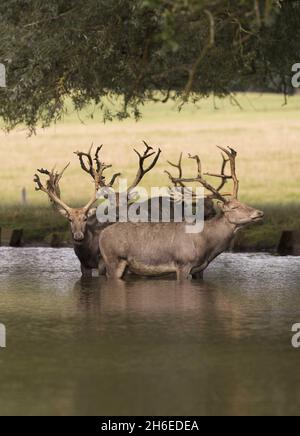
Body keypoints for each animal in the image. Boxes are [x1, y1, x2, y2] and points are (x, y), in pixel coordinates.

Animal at [99, 146, 264, 282]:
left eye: (244, 203)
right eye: (234, 207)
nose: (259, 212)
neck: (207, 244)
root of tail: (102, 234)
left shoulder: (200, 269)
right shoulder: (183, 263)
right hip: (113, 259)